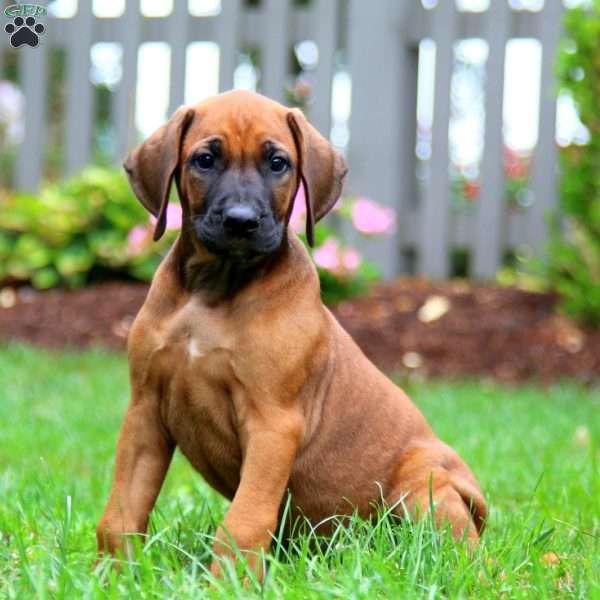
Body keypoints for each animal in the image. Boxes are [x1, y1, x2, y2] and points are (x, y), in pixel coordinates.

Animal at [96, 90, 486, 580]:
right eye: (205, 159)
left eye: (278, 163)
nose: (241, 221)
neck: (215, 290)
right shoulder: (145, 409)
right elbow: (122, 510)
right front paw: (111, 576)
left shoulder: (273, 424)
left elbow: (243, 521)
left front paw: (230, 584)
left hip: (425, 485)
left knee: (458, 550)